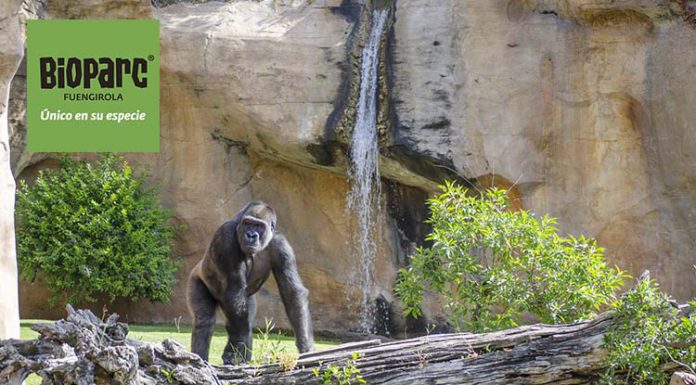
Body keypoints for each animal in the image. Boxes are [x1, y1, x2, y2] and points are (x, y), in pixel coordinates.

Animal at [186, 201, 314, 364]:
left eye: (258, 226)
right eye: (248, 223)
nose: (251, 235)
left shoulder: (282, 246)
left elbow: (291, 291)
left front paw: (306, 347)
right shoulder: (226, 235)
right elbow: (233, 289)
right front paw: (235, 349)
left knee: (245, 319)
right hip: (195, 278)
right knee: (205, 320)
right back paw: (201, 359)